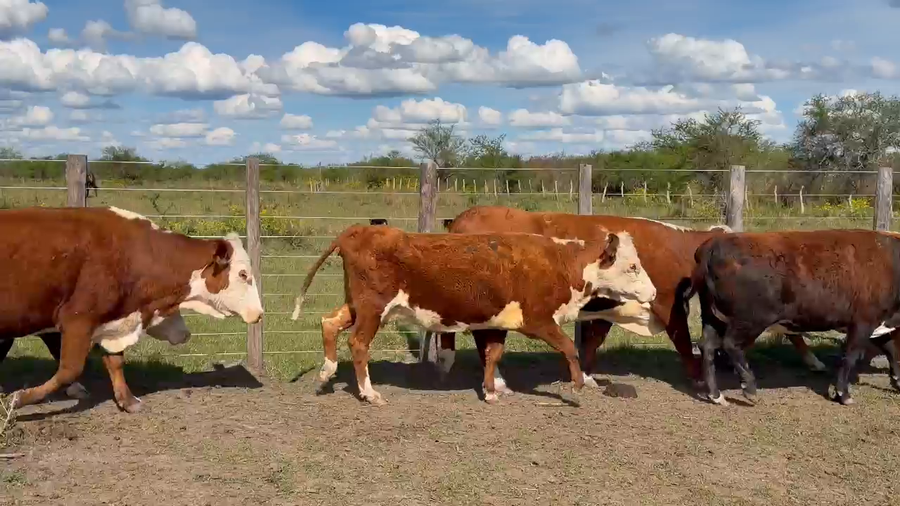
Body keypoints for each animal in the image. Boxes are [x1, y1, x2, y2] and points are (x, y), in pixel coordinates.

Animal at [0, 206, 264, 413]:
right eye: (243, 274)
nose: (260, 313)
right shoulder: (78, 320)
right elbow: (69, 370)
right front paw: (18, 399)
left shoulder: (113, 321)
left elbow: (115, 362)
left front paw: (127, 401)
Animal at [290, 224, 656, 404]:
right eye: (632, 266)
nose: (652, 293)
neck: (561, 262)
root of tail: (356, 230)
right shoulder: (538, 320)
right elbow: (568, 347)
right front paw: (578, 384)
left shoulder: (496, 323)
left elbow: (493, 354)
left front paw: (492, 390)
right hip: (372, 309)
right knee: (358, 344)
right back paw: (369, 393)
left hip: (358, 306)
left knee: (329, 323)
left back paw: (326, 373)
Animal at [686, 229, 900, 406]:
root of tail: (713, 245)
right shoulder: (863, 322)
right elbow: (850, 357)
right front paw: (844, 395)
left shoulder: (880, 323)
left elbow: (891, 351)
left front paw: (897, 381)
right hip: (751, 320)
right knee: (730, 344)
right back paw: (750, 388)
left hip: (713, 317)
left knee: (707, 346)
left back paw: (716, 395)